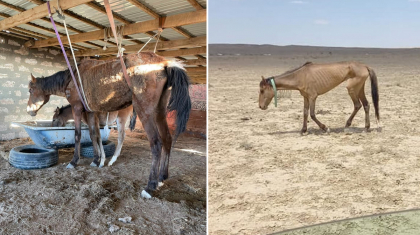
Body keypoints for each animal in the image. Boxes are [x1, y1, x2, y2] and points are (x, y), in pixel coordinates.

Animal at [26, 52, 190, 197]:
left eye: (30, 89)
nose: (29, 110)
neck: (72, 78)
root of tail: (165, 63)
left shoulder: (77, 108)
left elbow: (78, 134)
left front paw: (74, 161)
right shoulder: (90, 112)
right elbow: (93, 135)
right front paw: (96, 160)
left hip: (145, 112)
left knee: (156, 144)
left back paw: (150, 186)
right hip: (160, 111)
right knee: (167, 139)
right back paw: (162, 177)